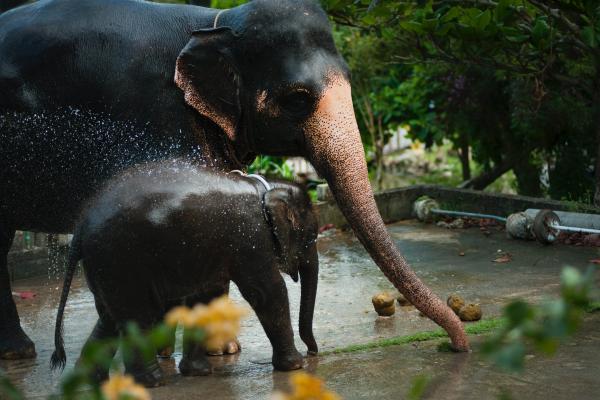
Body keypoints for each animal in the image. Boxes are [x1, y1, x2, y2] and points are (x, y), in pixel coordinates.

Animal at [0, 0, 468, 360]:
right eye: (297, 99)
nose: (457, 345)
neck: (213, 24)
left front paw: (221, 352)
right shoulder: (156, 115)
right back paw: (20, 352)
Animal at [51, 159, 318, 388]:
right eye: (311, 238)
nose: (313, 352)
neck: (264, 188)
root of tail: (81, 226)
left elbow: (206, 298)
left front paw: (198, 372)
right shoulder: (251, 239)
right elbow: (267, 292)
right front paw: (295, 366)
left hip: (106, 267)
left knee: (110, 318)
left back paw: (92, 380)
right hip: (120, 260)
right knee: (138, 316)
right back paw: (153, 382)